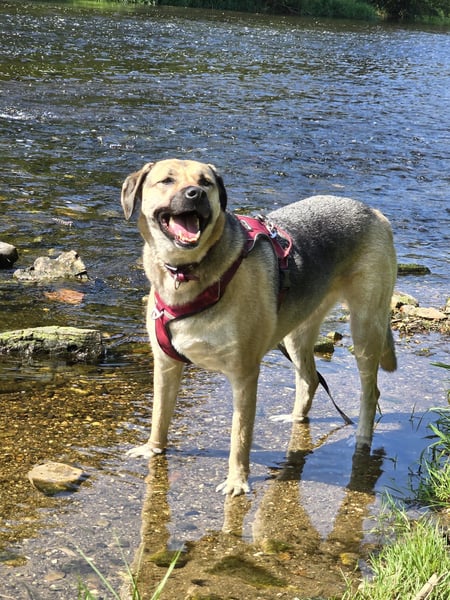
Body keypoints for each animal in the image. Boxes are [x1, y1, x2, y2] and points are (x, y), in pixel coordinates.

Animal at [121, 159, 397, 496]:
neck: (187, 273)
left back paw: (362, 440)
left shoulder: (244, 373)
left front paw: (237, 480)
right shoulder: (166, 365)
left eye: (205, 182)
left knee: (370, 393)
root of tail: (374, 212)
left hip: (365, 328)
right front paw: (153, 448)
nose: (195, 194)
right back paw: (295, 417)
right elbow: (160, 414)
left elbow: (240, 435)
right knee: (309, 379)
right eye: (167, 180)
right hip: (297, 331)